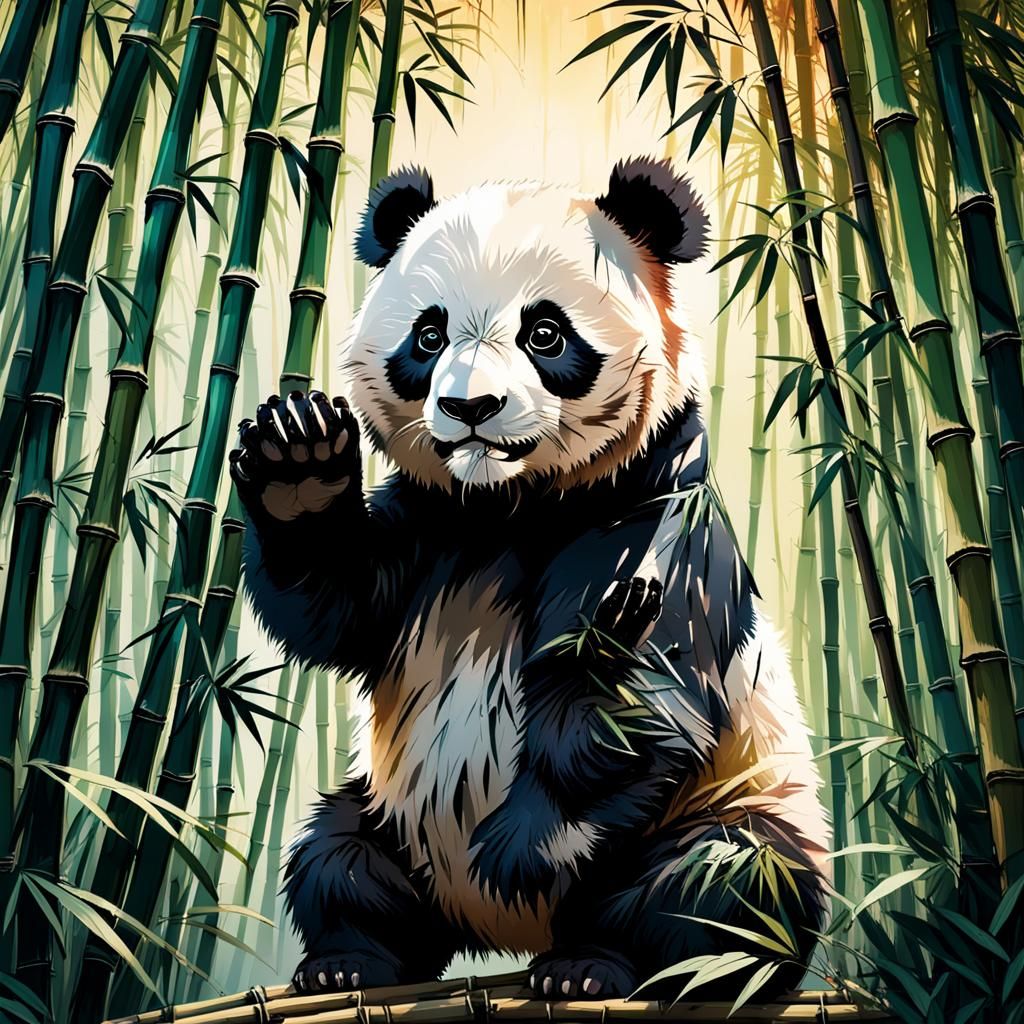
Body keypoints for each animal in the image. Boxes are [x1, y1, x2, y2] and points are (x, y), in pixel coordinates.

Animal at [229, 157, 830, 1001]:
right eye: (429, 334)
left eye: (544, 333)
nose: (469, 407)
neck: (510, 510)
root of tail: (502, 934)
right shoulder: (429, 526)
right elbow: (342, 611)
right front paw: (299, 460)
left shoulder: (660, 523)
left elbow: (641, 707)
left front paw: (523, 844)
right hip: (386, 811)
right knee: (337, 857)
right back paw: (350, 960)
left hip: (740, 807)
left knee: (717, 888)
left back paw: (596, 966)